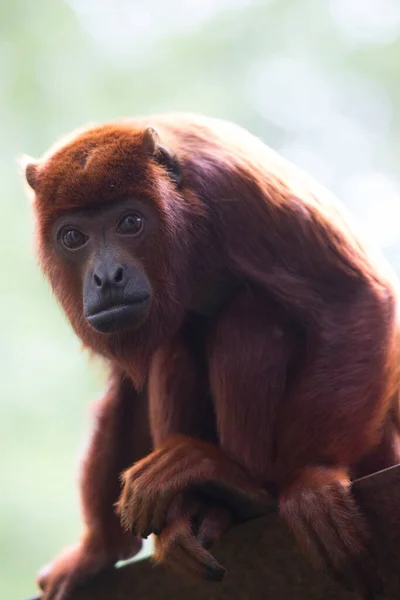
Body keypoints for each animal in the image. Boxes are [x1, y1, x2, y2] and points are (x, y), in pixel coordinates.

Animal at [22, 113, 400, 600]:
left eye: (130, 222)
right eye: (72, 237)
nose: (107, 277)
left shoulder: (238, 193)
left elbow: (351, 298)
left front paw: (314, 476)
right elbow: (127, 386)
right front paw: (97, 550)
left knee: (248, 314)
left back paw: (242, 491)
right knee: (173, 343)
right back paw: (194, 509)